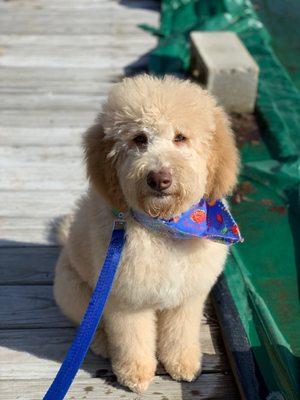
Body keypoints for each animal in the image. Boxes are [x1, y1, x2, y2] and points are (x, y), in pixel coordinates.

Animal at [52, 75, 238, 394]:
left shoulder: (187, 298)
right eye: (139, 139)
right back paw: (102, 344)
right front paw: (135, 373)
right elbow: (132, 340)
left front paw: (183, 363)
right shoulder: (126, 302)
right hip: (75, 290)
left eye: (180, 138)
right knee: (91, 327)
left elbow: (180, 333)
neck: (166, 228)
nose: (159, 179)